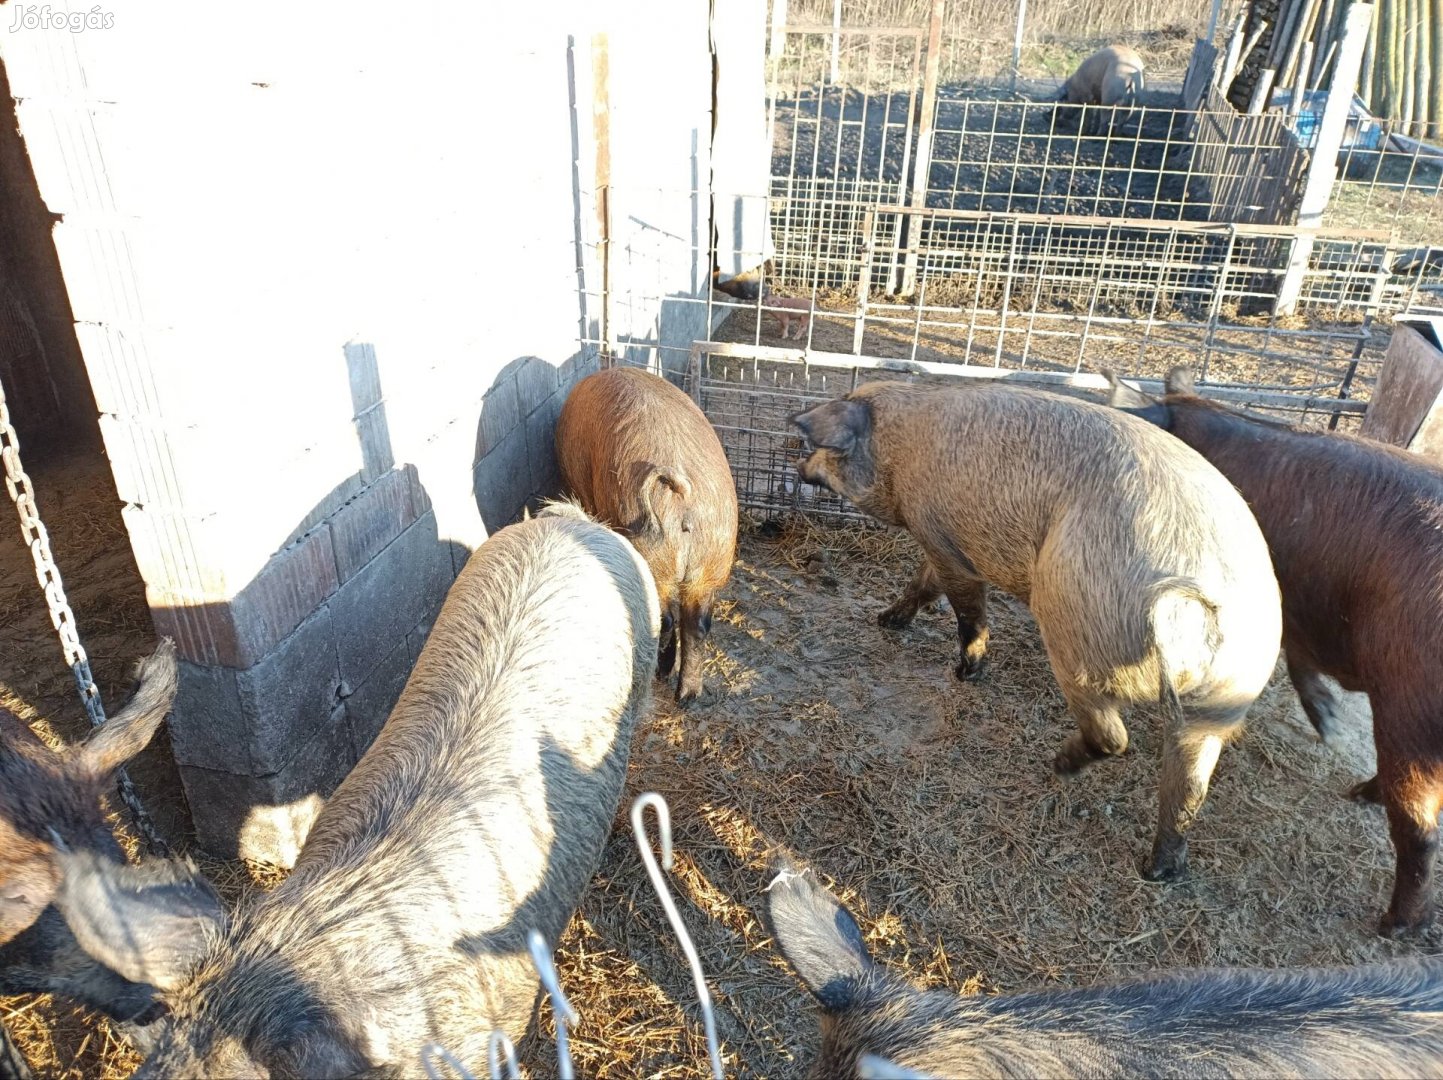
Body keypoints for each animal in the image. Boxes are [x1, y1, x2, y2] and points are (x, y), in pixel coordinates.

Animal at [548, 366, 738, 704]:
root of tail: (682, 492)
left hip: (650, 554)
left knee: (665, 619)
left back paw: (662, 674)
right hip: (713, 558)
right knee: (698, 625)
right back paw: (687, 696)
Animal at [796, 384, 1281, 883]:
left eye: (826, 448)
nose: (797, 460)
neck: (901, 448)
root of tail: (1193, 592)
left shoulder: (945, 541)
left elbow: (964, 607)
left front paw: (964, 671)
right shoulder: (942, 546)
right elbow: (922, 584)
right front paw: (885, 620)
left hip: (1078, 629)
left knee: (1113, 735)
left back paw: (1058, 766)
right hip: (1224, 698)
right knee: (1189, 783)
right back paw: (1160, 871)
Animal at [1108, 365, 1443, 935]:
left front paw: (1330, 727)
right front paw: (1330, 724)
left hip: (1410, 707)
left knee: (1420, 828)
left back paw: (1394, 924)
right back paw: (1359, 793)